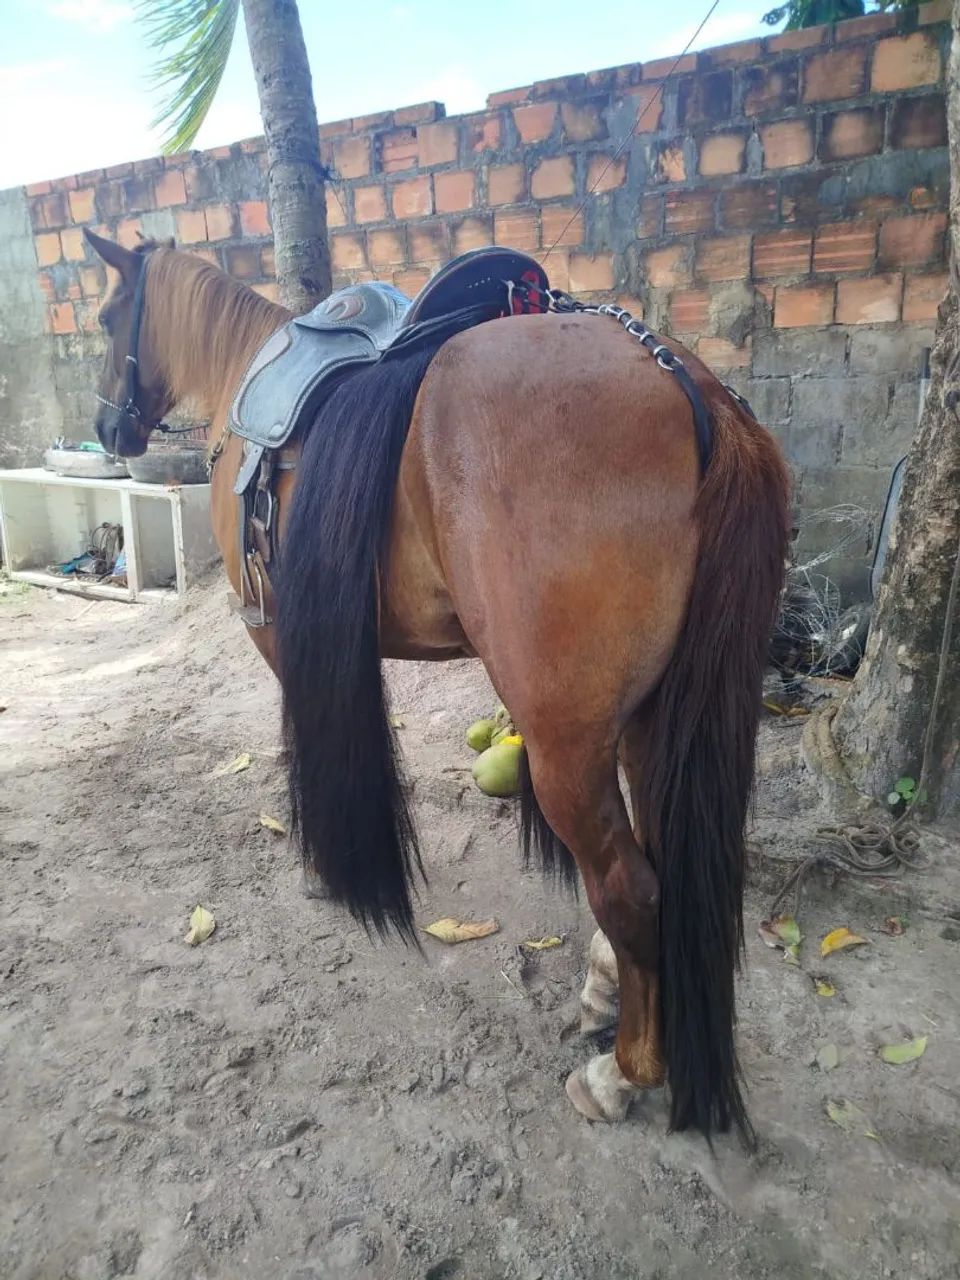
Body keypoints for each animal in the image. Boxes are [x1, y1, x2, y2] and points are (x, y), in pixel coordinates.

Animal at [84, 229, 789, 1142]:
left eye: (108, 317)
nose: (107, 425)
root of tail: (689, 386)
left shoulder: (274, 633)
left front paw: (327, 864)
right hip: (649, 717)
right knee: (658, 857)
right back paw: (606, 994)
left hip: (566, 744)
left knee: (629, 886)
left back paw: (622, 1075)